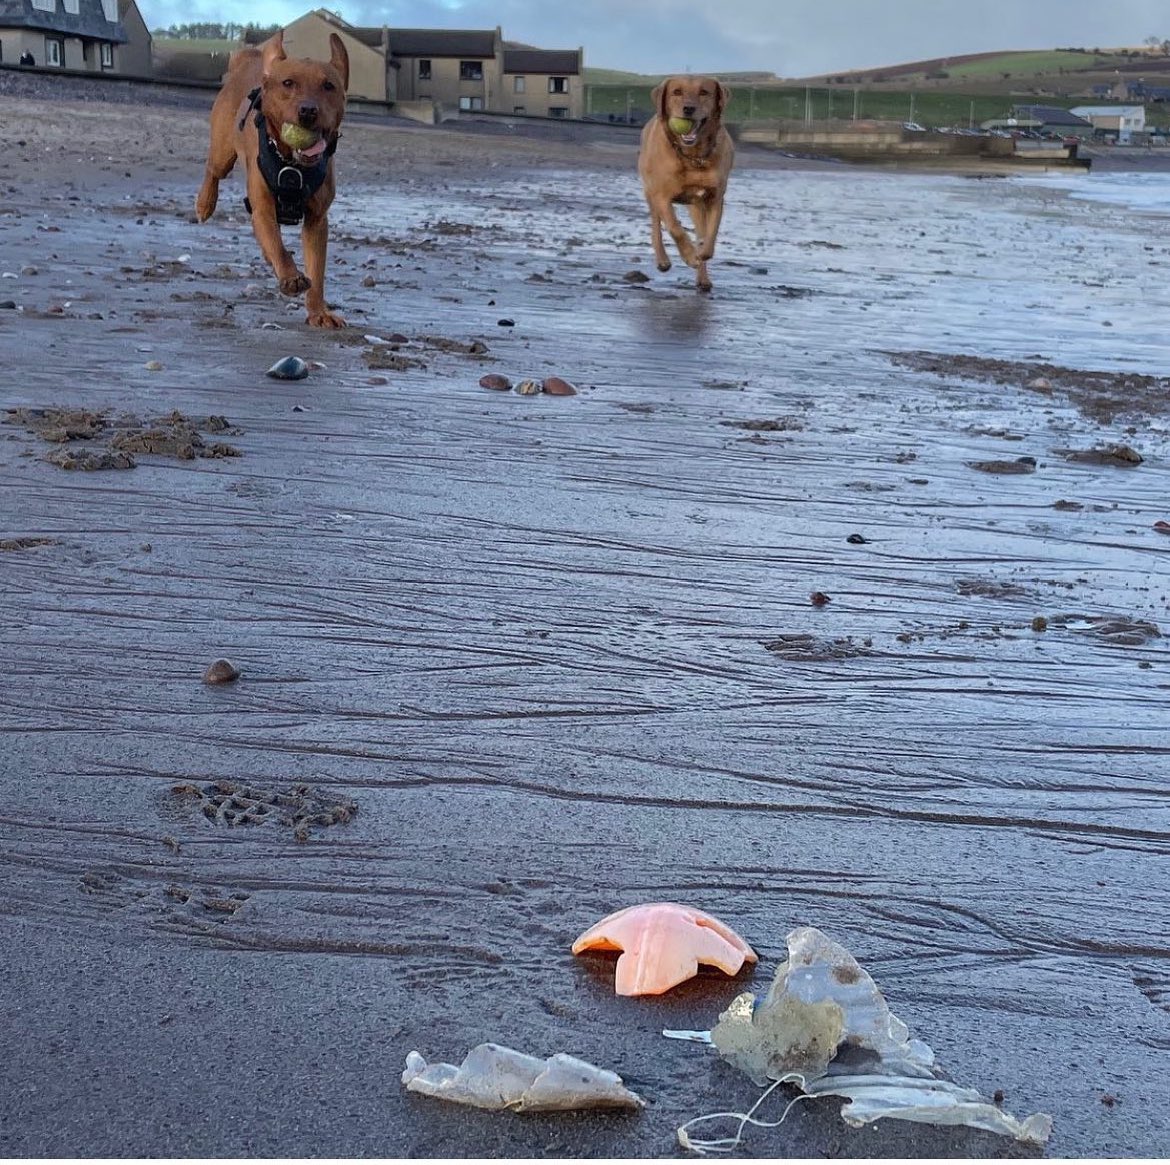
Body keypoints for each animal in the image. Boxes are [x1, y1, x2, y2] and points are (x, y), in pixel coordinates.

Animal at [196, 30, 348, 327]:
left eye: (328, 86)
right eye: (288, 83)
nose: (308, 110)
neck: (293, 164)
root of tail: (250, 59)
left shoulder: (316, 220)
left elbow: (317, 270)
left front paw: (319, 312)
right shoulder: (263, 209)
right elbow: (277, 246)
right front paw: (290, 277)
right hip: (223, 152)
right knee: (212, 170)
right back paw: (204, 203)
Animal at [641, 74, 730, 291]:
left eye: (704, 92)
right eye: (677, 92)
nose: (688, 109)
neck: (693, 157)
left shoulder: (715, 198)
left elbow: (710, 235)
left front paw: (701, 252)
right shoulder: (662, 196)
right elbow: (675, 228)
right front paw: (689, 255)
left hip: (696, 206)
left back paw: (703, 278)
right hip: (649, 192)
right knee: (656, 226)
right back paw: (663, 260)